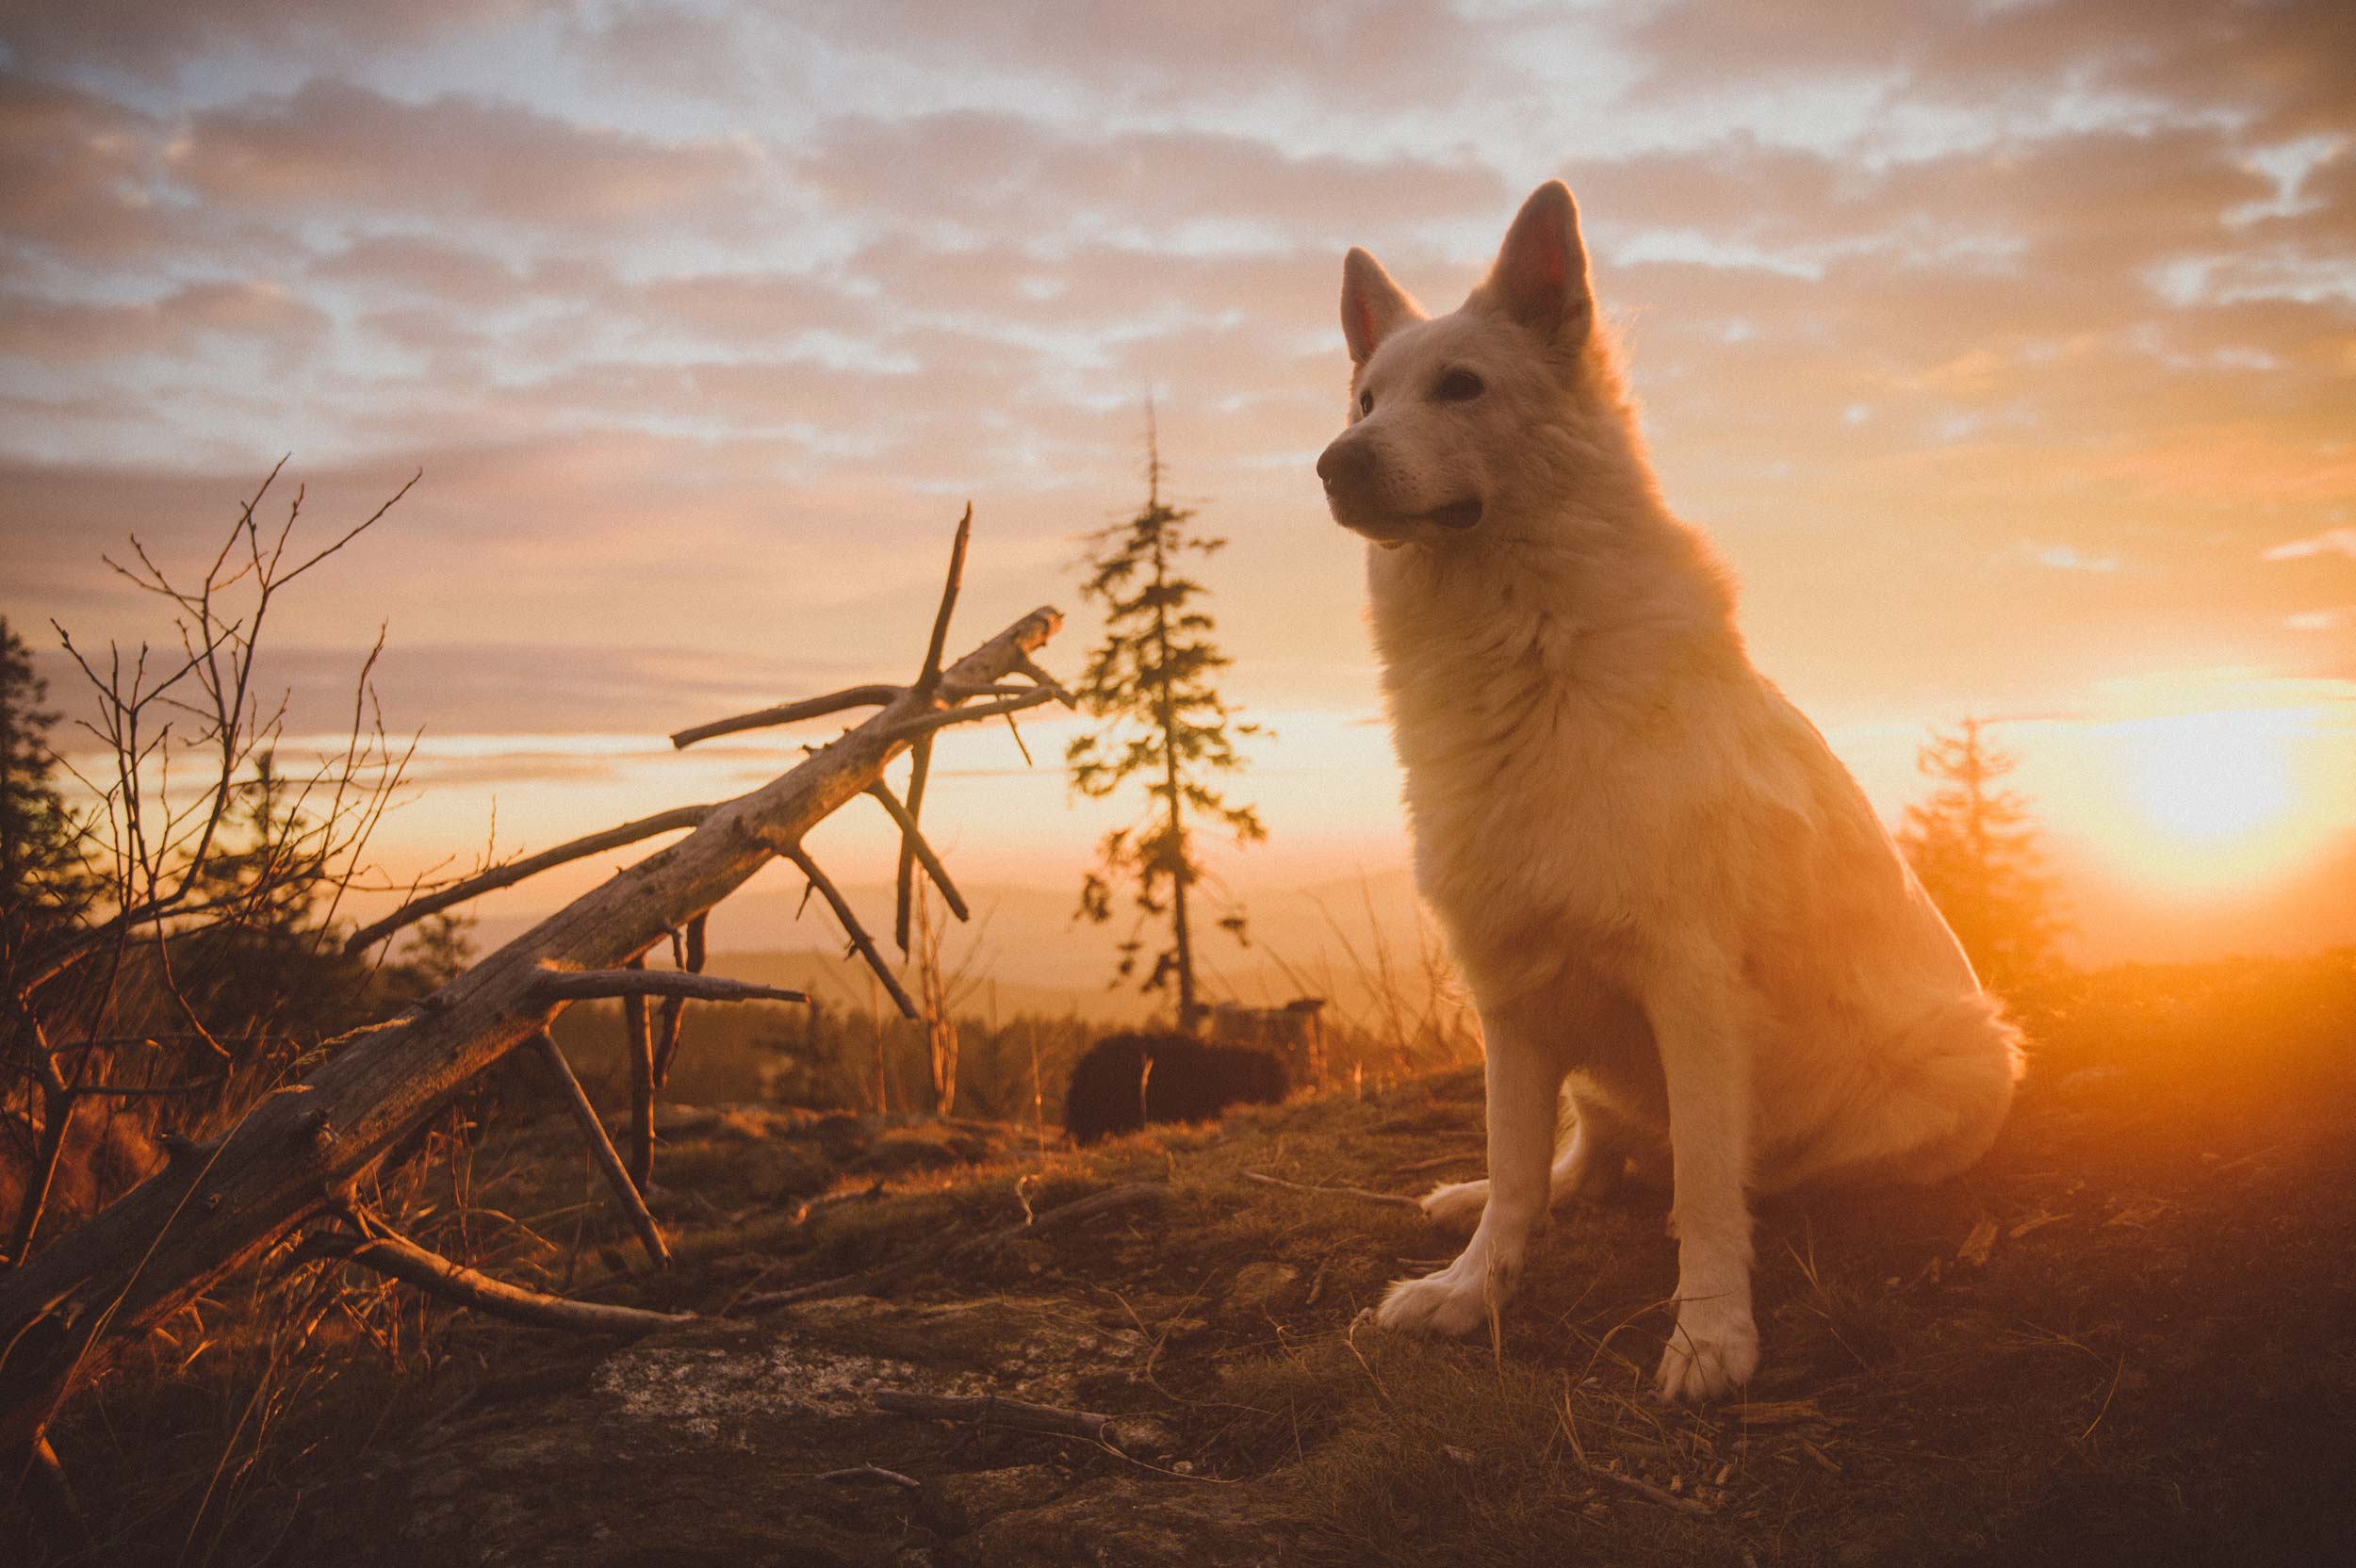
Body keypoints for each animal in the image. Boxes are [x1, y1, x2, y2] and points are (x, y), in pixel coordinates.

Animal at [1329, 180, 2026, 1394]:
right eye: (1366, 397)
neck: (1523, 647)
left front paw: (1710, 1331)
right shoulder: (1510, 990)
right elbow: (1516, 1166)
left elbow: (1704, 1186)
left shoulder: (1688, 987)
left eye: (1461, 386)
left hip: (1961, 1060)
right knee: (1582, 1155)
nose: (1334, 461)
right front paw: (1473, 1288)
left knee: (1746, 1169)